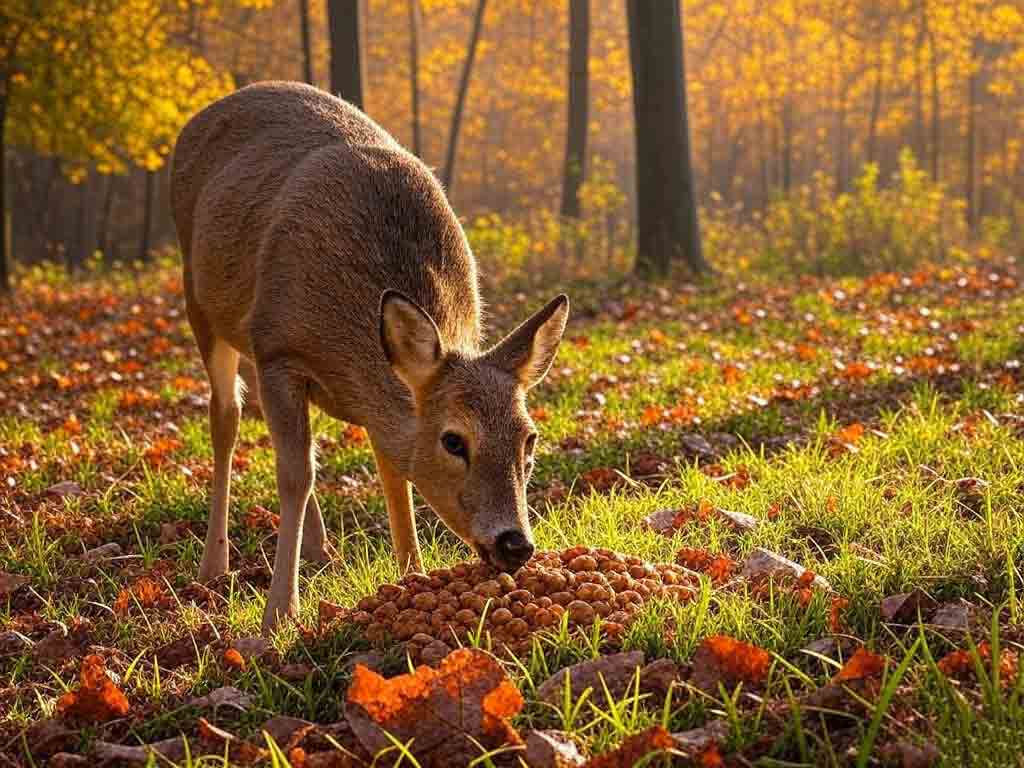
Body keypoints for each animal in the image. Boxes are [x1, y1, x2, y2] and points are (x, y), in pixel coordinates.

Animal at [168, 82, 569, 638]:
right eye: (453, 440)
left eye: (529, 438)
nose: (515, 543)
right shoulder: (278, 349)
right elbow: (295, 475)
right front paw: (279, 613)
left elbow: (391, 475)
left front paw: (411, 574)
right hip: (201, 304)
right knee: (226, 417)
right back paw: (215, 564)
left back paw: (320, 551)